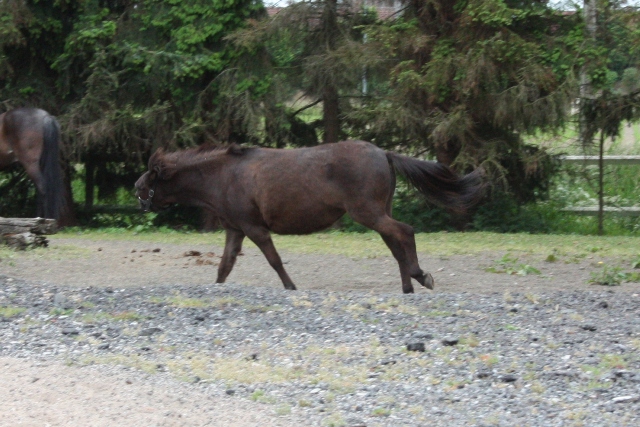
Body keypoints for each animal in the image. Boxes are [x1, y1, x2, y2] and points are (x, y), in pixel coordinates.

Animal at [135, 140, 484, 294]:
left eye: (149, 180)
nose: (136, 190)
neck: (224, 175)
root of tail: (384, 152)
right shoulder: (236, 229)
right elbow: (225, 265)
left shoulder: (254, 227)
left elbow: (274, 260)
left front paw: (291, 287)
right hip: (378, 212)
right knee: (396, 243)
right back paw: (408, 286)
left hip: (368, 212)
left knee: (405, 232)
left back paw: (420, 276)